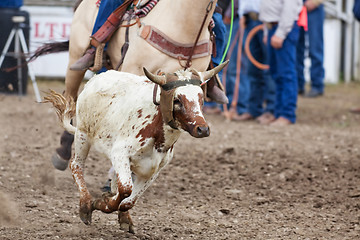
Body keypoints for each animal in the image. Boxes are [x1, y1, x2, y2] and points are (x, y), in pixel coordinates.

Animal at [44, 61, 228, 233]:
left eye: (201, 98)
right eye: (177, 100)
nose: (202, 129)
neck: (157, 132)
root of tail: (96, 78)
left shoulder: (154, 170)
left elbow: (129, 200)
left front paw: (122, 215)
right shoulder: (120, 153)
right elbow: (126, 189)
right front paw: (101, 203)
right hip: (82, 135)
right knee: (76, 166)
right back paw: (85, 205)